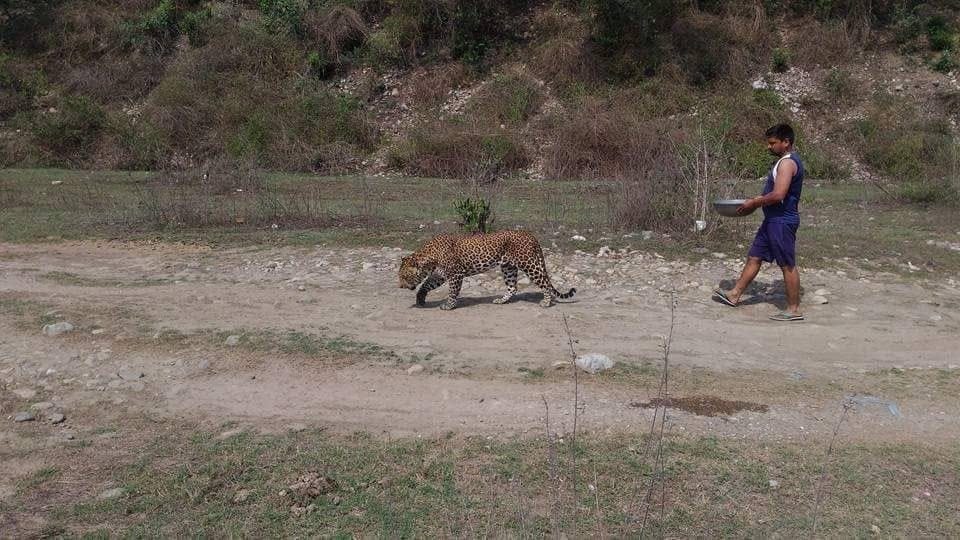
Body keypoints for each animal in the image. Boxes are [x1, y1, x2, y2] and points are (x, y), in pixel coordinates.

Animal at [398, 230, 576, 310]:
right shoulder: (439, 275)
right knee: (512, 287)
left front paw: (449, 305)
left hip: (529, 264)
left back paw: (546, 302)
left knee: (545, 283)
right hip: (508, 267)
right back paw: (501, 300)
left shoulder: (455, 274)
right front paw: (420, 299)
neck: (429, 258)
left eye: (404, 276)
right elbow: (425, 286)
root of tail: (530, 235)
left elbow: (453, 292)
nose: (399, 286)